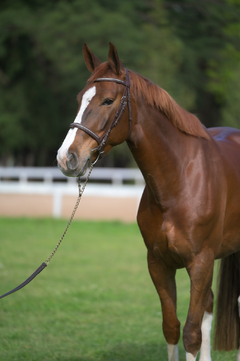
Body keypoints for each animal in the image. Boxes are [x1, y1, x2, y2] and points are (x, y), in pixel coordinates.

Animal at [56, 43, 240, 360]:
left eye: (108, 100)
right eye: (80, 98)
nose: (66, 157)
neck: (178, 183)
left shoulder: (200, 263)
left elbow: (191, 334)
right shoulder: (158, 264)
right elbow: (171, 327)